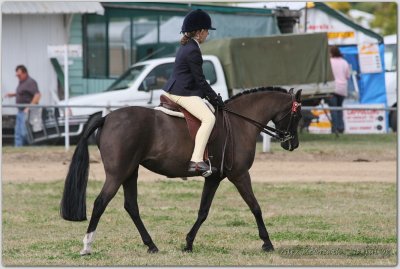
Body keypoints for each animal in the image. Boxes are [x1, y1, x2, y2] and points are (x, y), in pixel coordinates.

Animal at [61, 86, 302, 253]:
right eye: (297, 116)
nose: (293, 144)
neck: (239, 122)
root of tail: (107, 117)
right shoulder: (239, 175)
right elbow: (255, 207)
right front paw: (267, 242)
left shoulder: (214, 178)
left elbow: (203, 211)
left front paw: (188, 243)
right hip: (118, 173)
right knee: (100, 203)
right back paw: (87, 246)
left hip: (130, 172)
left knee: (131, 206)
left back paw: (151, 245)